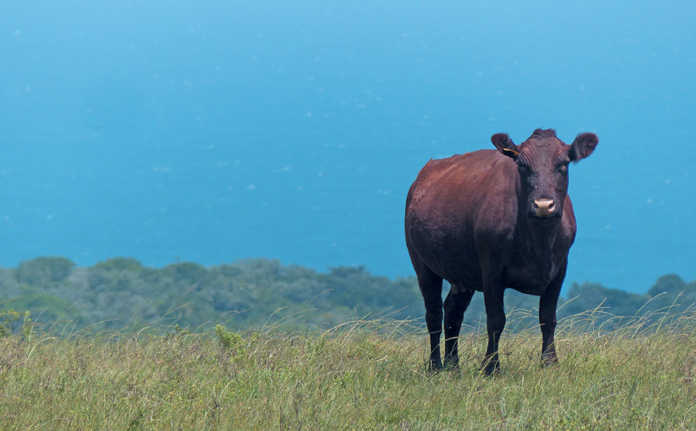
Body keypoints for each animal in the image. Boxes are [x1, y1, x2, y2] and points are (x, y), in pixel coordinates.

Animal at [404, 128, 598, 374]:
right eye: (522, 165)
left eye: (563, 163)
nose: (543, 205)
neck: (538, 243)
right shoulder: (491, 269)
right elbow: (496, 319)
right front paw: (491, 367)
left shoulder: (559, 269)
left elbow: (547, 318)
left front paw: (550, 363)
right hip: (422, 263)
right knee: (434, 314)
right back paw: (436, 366)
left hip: (463, 273)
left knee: (453, 311)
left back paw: (453, 366)